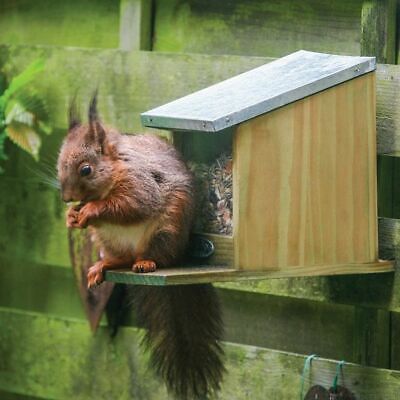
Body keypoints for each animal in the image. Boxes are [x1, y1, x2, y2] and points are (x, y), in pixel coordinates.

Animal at [57, 94, 225, 400]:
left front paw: (90, 211)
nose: (67, 197)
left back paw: (147, 262)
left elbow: (131, 205)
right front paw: (71, 217)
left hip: (165, 231)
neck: (115, 168)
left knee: (157, 256)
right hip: (109, 241)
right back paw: (103, 265)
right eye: (59, 164)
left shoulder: (141, 184)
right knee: (122, 258)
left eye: (86, 169)